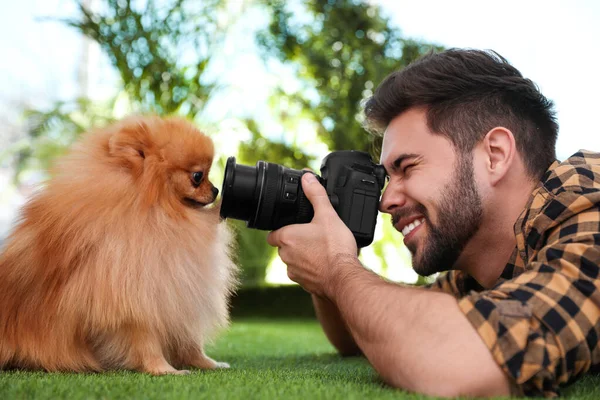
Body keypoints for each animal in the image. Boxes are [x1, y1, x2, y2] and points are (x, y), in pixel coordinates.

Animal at [0, 115, 239, 376]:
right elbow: (145, 340)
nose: (216, 190)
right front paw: (164, 369)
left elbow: (189, 341)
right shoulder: (134, 296)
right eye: (197, 176)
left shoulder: (176, 287)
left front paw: (206, 363)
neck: (158, 211)